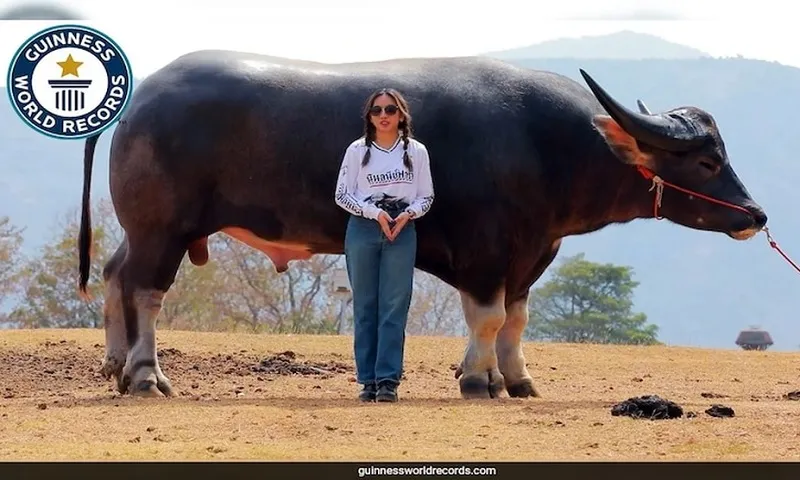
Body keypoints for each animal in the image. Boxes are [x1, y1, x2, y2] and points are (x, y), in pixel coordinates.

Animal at [78, 50, 764, 400]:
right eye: (707, 161)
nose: (756, 215)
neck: (548, 146)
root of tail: (138, 99)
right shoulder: (486, 253)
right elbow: (487, 317)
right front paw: (479, 381)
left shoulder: (529, 255)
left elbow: (514, 320)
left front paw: (516, 379)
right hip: (163, 229)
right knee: (145, 291)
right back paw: (145, 375)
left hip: (141, 228)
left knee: (114, 276)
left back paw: (113, 364)